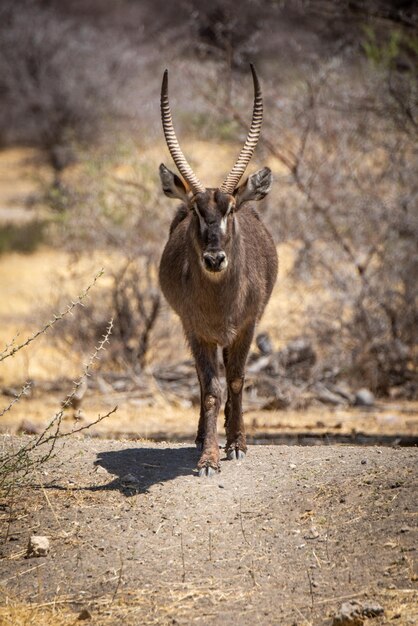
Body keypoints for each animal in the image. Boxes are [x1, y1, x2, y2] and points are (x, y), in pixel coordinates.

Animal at [158, 64, 278, 472]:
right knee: (201, 378)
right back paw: (202, 438)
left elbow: (238, 380)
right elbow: (211, 388)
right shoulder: (197, 330)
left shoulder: (247, 325)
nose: (213, 259)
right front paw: (208, 457)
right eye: (197, 210)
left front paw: (237, 443)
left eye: (230, 208)